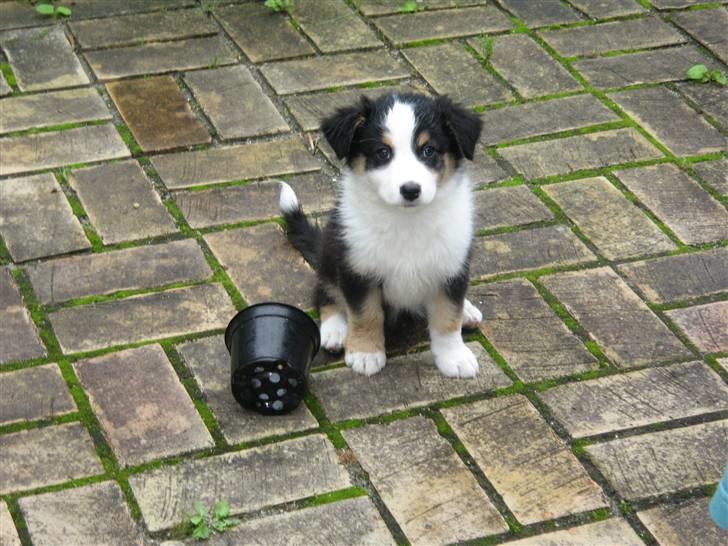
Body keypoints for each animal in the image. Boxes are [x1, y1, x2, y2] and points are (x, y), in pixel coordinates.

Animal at [278, 91, 484, 376]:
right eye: (383, 152)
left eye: (428, 150)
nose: (410, 190)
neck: (406, 220)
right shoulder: (357, 269)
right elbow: (366, 314)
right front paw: (366, 354)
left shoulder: (452, 267)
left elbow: (448, 315)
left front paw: (455, 357)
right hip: (332, 254)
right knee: (324, 292)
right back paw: (335, 332)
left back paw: (469, 311)